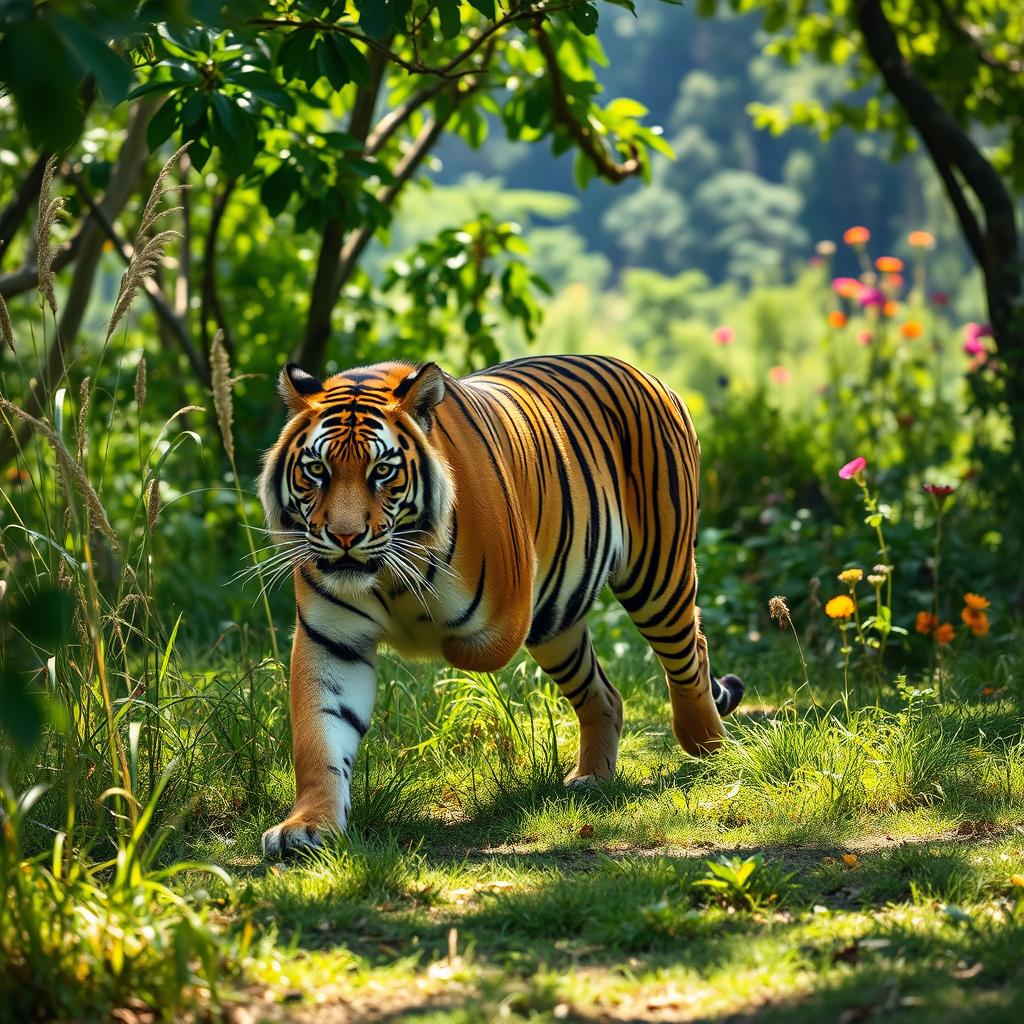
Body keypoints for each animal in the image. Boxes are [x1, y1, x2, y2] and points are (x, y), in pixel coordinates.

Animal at [260, 352, 741, 856]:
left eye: (383, 472)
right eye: (317, 471)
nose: (345, 537)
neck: (387, 572)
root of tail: (645, 374)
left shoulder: (514, 606)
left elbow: (466, 646)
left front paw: (419, 635)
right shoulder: (331, 639)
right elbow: (320, 736)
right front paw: (307, 826)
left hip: (656, 576)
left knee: (691, 649)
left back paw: (707, 746)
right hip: (559, 625)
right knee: (604, 693)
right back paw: (592, 777)